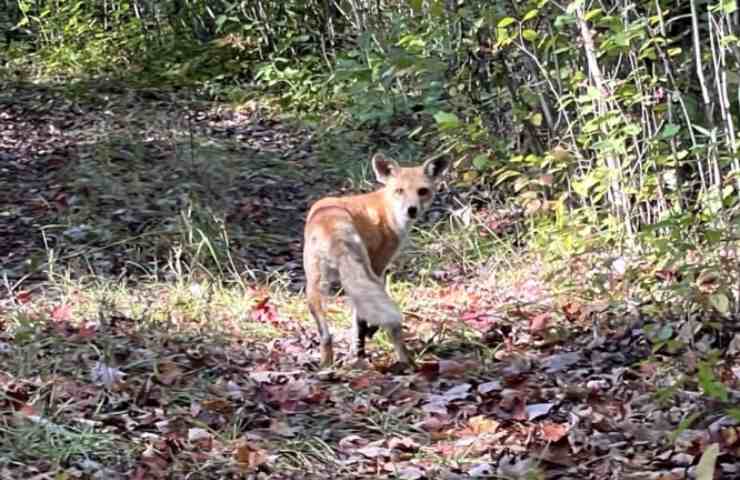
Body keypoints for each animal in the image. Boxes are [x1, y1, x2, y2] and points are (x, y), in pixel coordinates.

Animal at [302, 154, 450, 368]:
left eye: (422, 191)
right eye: (399, 191)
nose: (411, 210)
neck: (386, 209)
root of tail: (330, 224)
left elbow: (358, 321)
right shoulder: (379, 266)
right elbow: (365, 320)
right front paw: (371, 333)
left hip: (316, 287)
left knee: (327, 335)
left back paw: (330, 364)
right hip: (365, 274)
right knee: (389, 326)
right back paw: (406, 361)